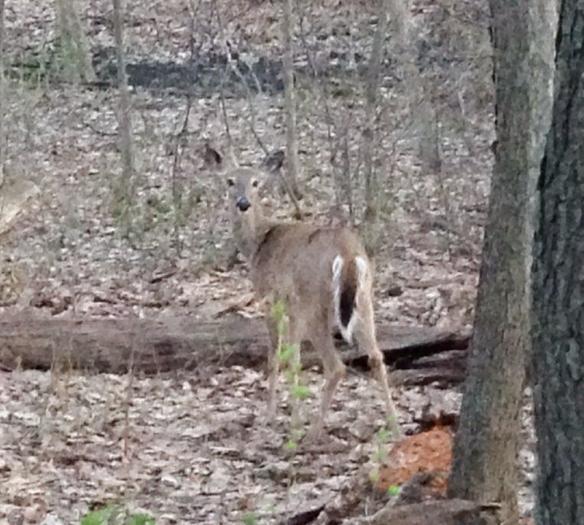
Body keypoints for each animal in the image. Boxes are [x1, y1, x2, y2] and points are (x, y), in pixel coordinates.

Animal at [226, 166, 401, 442]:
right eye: (230, 181)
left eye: (256, 182)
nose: (243, 203)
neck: (259, 243)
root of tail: (348, 253)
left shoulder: (273, 301)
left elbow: (279, 357)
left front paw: (274, 417)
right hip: (363, 298)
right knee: (375, 356)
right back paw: (396, 428)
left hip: (313, 300)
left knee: (335, 365)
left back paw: (310, 431)